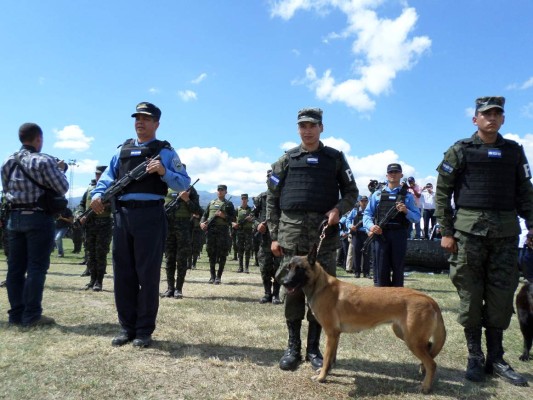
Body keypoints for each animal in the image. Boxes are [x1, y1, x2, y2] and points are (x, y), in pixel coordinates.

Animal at [284, 244, 446, 394]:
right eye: (288, 267)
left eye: (300, 269)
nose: (284, 283)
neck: (320, 285)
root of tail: (429, 299)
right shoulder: (335, 335)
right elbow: (331, 359)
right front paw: (327, 372)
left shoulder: (331, 334)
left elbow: (327, 359)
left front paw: (322, 377)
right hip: (404, 334)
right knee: (430, 349)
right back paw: (423, 372)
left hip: (412, 340)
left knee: (432, 363)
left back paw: (425, 386)